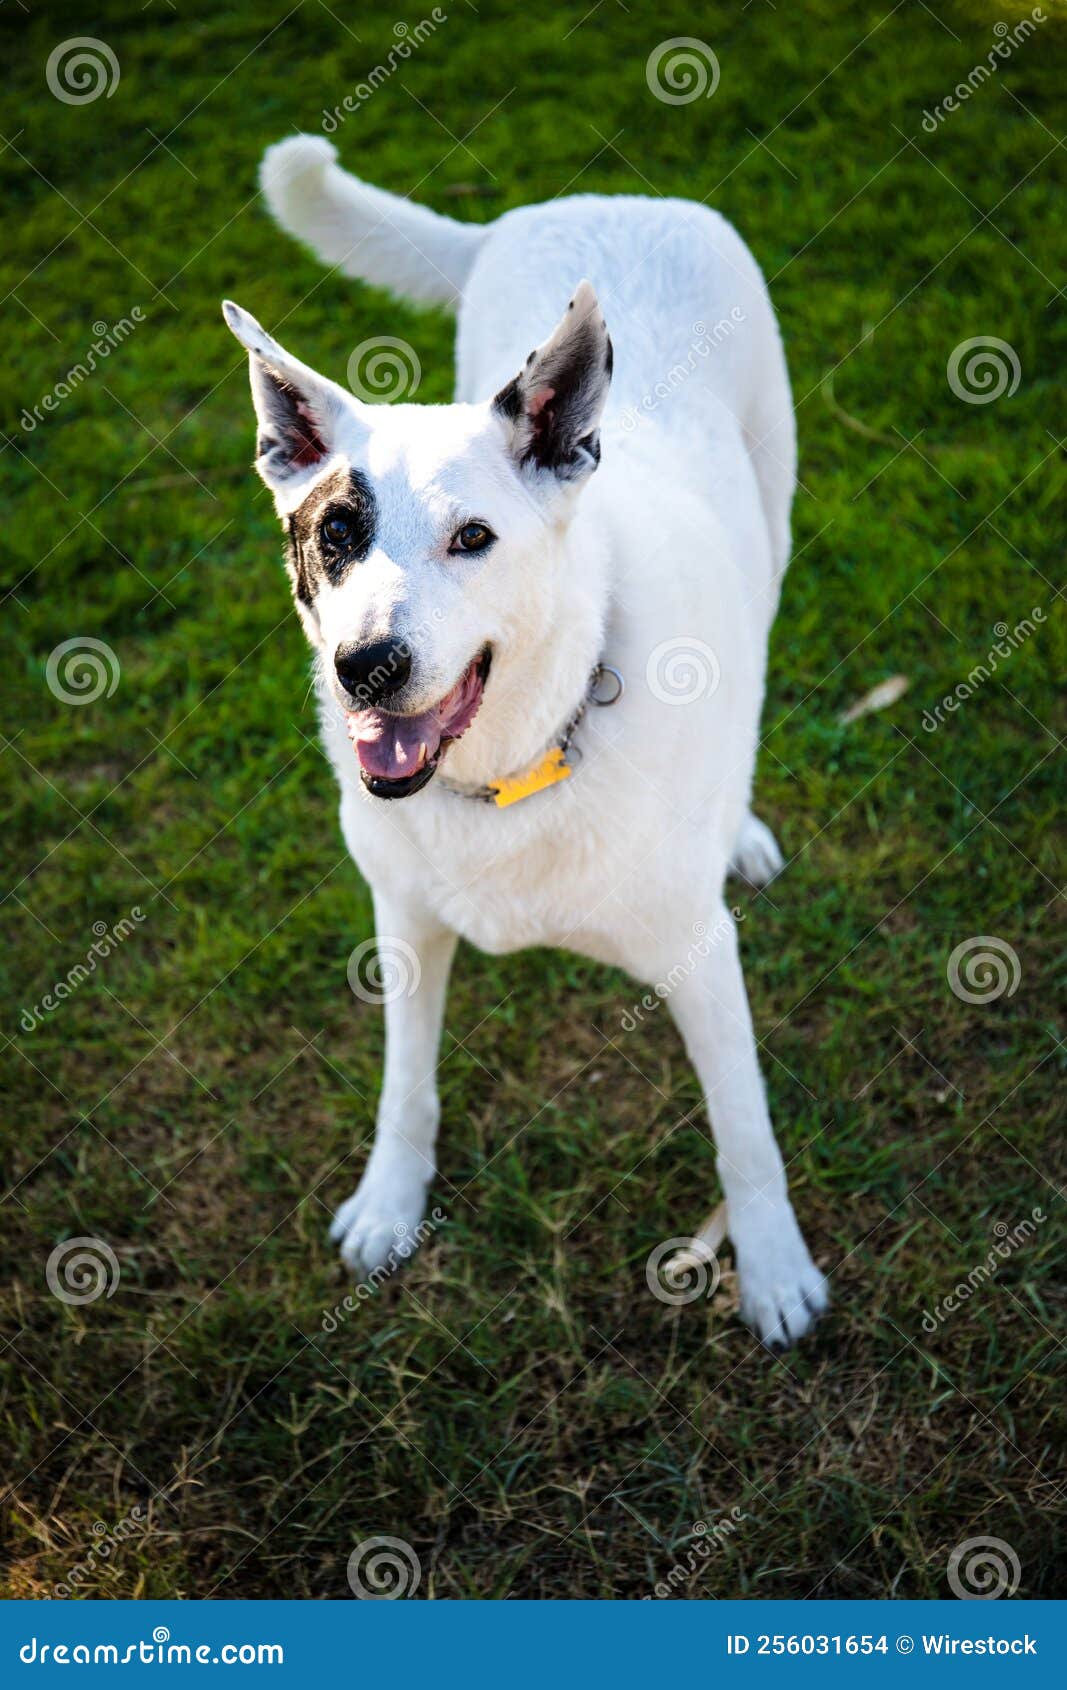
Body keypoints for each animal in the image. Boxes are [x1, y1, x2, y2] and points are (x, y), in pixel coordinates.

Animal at [221, 135, 831, 1345]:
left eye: (473, 539)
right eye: (335, 531)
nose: (365, 666)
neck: (517, 760)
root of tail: (605, 198)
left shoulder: (700, 954)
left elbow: (744, 1131)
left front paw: (774, 1268)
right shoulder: (404, 919)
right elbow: (405, 1086)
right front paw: (389, 1203)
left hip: (774, 512)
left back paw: (734, 824)